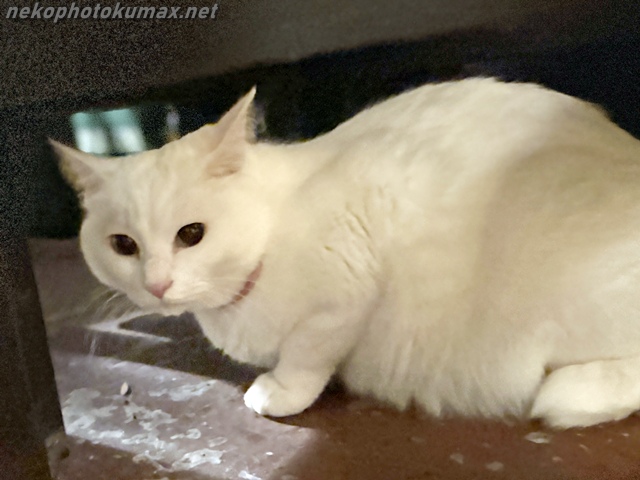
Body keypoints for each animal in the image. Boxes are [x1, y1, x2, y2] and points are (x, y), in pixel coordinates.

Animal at [52, 77, 640, 429]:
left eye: (191, 234)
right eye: (123, 245)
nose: (156, 285)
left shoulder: (350, 280)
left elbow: (307, 352)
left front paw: (281, 391)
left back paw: (569, 394)